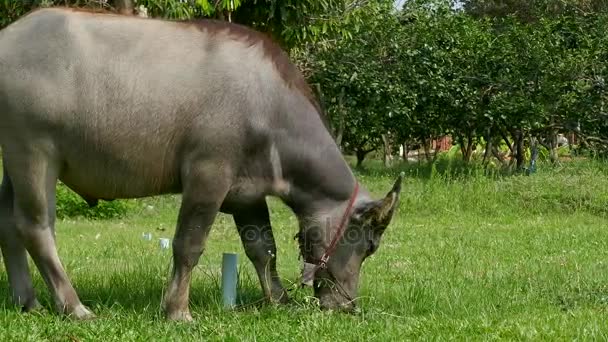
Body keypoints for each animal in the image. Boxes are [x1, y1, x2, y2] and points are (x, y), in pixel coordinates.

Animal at [1, 7, 404, 320]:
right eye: (369, 246)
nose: (348, 305)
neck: (268, 108)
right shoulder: (208, 174)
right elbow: (189, 244)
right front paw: (177, 310)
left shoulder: (247, 193)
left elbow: (263, 248)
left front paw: (279, 299)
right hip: (34, 152)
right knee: (36, 227)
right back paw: (74, 306)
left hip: (10, 163)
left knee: (8, 225)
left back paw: (29, 302)